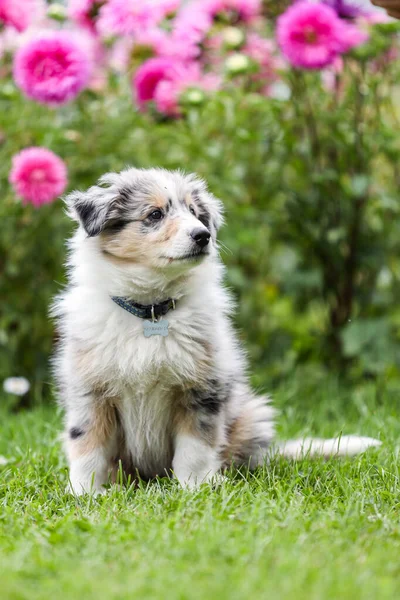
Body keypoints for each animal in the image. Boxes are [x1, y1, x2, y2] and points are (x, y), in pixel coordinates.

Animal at [50, 168, 382, 492]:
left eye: (195, 213)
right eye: (155, 214)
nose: (203, 235)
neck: (151, 312)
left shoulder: (202, 387)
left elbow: (195, 446)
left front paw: (195, 487)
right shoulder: (90, 391)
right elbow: (88, 446)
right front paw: (85, 492)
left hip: (252, 414)